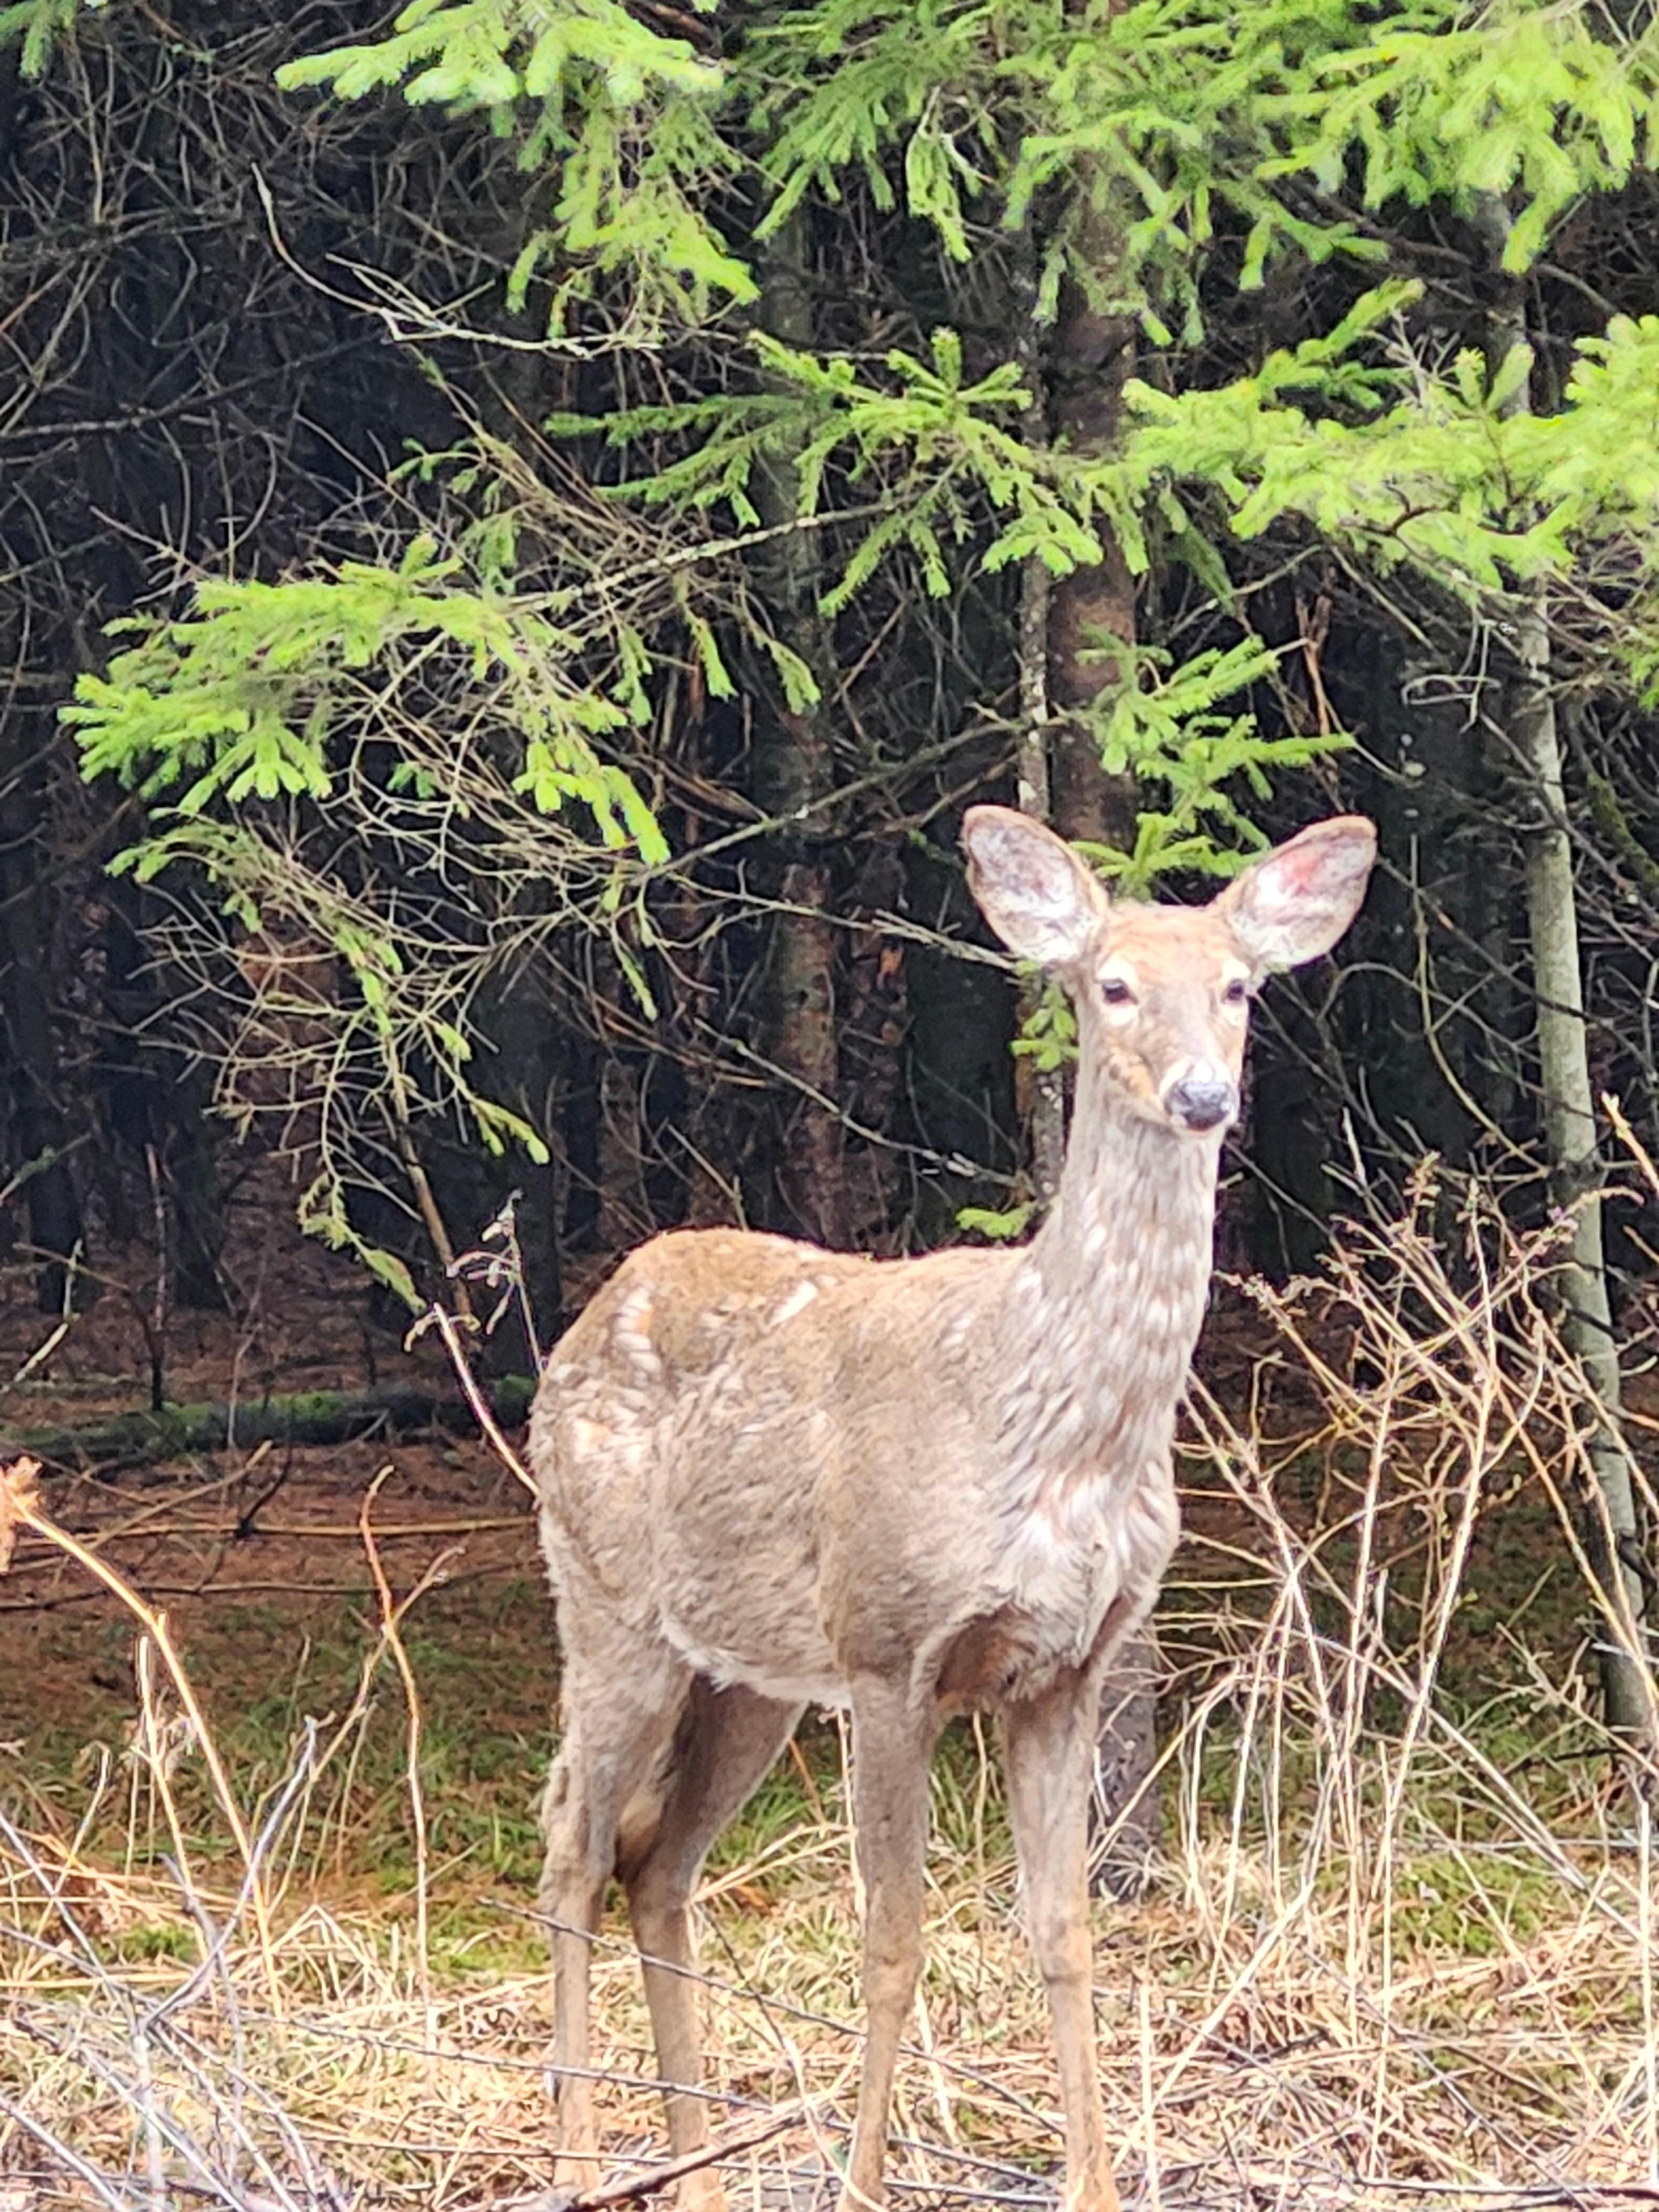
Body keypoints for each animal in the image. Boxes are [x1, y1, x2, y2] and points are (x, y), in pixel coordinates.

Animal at [528, 803, 1377, 2212]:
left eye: (1240, 988)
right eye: (1111, 985)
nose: (1203, 1096)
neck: (1056, 1434)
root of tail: (579, 1324)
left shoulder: (1066, 1665)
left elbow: (1065, 1931)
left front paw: (1094, 2183)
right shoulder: (890, 1646)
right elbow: (891, 1937)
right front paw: (866, 2182)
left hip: (749, 1673)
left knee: (656, 1861)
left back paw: (695, 2168)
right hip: (607, 1606)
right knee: (571, 1853)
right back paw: (585, 2161)